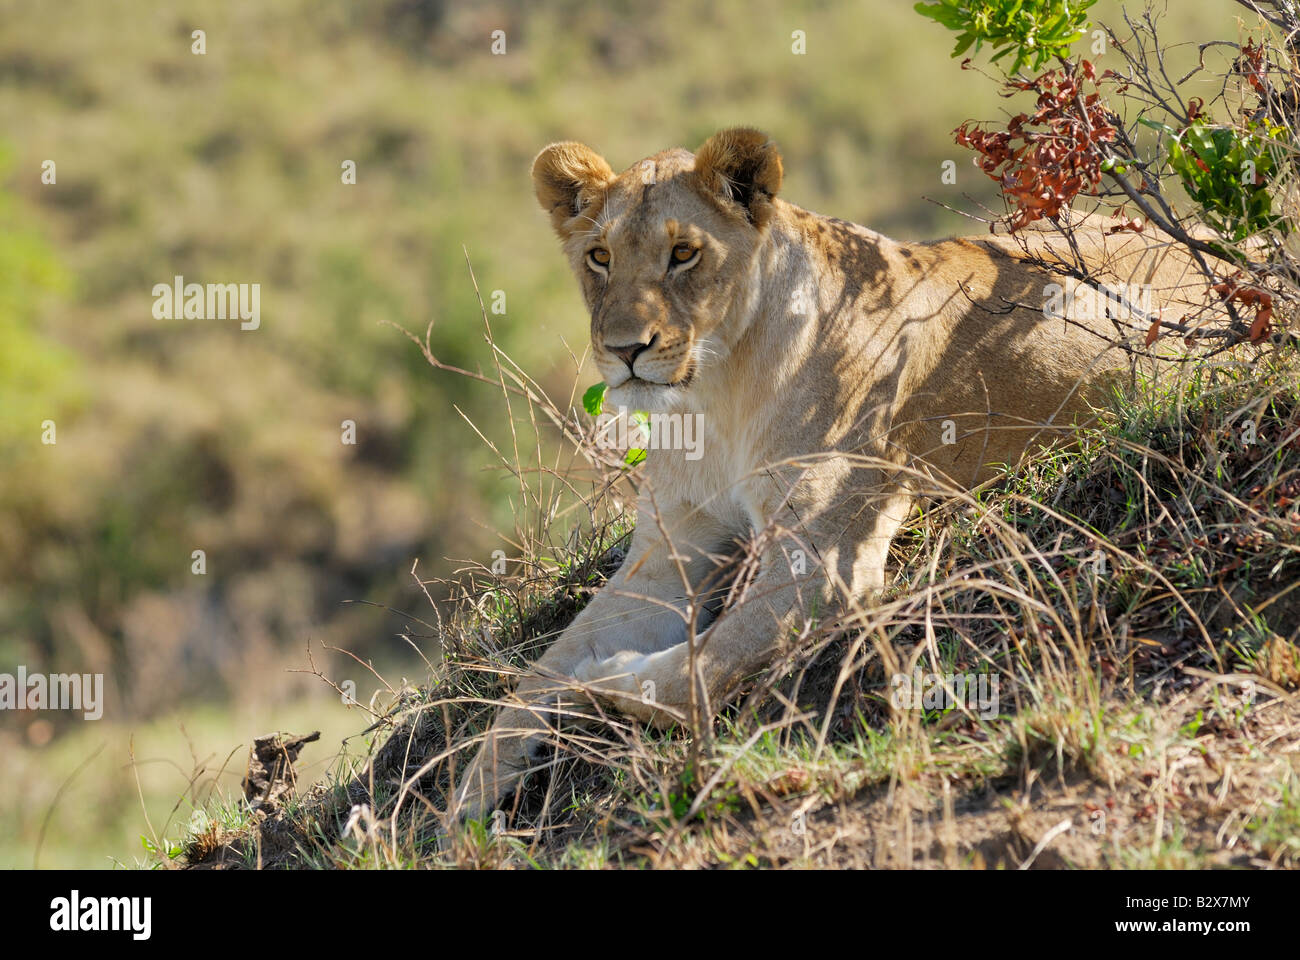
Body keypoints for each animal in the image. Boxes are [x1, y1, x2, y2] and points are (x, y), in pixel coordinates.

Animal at [452, 127, 1203, 821]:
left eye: (684, 253)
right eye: (600, 257)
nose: (624, 350)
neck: (714, 394)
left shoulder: (828, 558)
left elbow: (694, 671)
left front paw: (602, 682)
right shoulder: (672, 549)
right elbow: (539, 670)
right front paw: (467, 800)